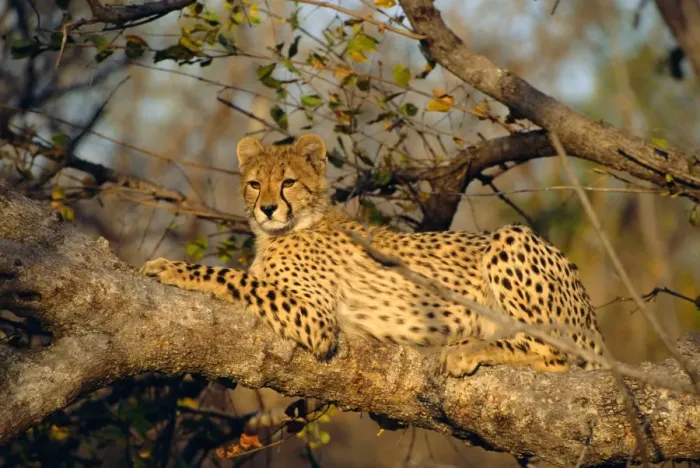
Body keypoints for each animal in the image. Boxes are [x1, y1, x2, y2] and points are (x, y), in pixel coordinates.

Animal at [140, 134, 605, 377]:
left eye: (288, 182)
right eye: (255, 184)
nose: (268, 208)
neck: (294, 226)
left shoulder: (317, 321)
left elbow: (232, 276)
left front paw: (170, 268)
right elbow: (242, 276)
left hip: (511, 238)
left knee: (557, 352)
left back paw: (469, 348)